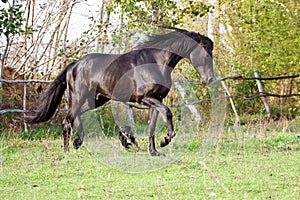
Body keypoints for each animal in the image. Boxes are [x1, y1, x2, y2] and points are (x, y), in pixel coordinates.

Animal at [25, 27, 213, 157]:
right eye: (205, 52)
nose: (209, 79)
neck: (157, 62)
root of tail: (74, 65)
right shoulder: (146, 99)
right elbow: (167, 112)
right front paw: (165, 140)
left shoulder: (155, 100)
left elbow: (152, 126)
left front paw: (154, 151)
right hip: (78, 97)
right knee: (67, 121)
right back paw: (67, 151)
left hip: (97, 99)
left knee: (76, 115)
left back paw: (78, 142)